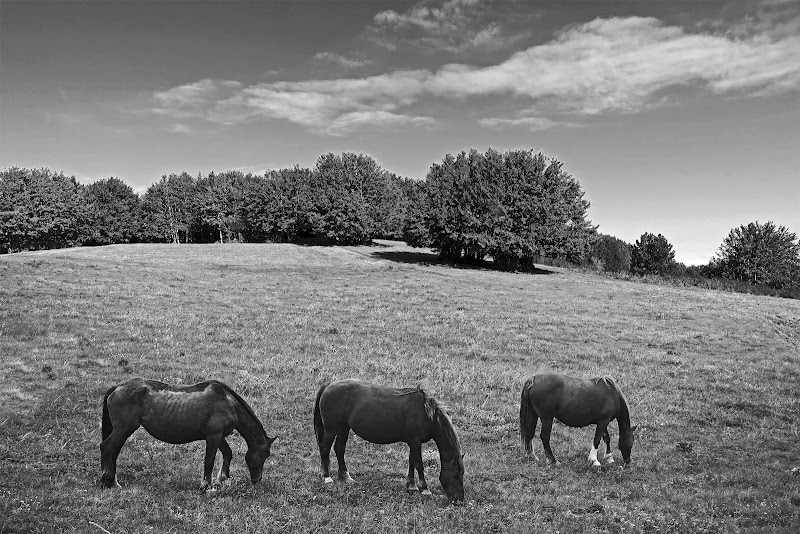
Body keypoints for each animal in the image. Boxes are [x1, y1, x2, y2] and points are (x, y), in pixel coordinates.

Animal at [100, 378, 278, 492]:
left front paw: (221, 479)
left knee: (113, 451)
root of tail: (117, 387)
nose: (257, 480)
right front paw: (205, 486)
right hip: (123, 430)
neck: (228, 403)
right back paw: (110, 480)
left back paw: (111, 479)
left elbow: (228, 453)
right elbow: (209, 461)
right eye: (265, 455)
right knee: (107, 448)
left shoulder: (218, 436)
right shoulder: (213, 436)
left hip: (122, 431)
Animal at [310, 382, 462, 502]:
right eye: (456, 474)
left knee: (339, 449)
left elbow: (411, 461)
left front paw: (411, 485)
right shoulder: (415, 441)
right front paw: (425, 489)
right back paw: (327, 477)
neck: (425, 414)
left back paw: (346, 476)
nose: (459, 500)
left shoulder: (412, 442)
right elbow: (419, 464)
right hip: (331, 429)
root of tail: (328, 386)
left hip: (343, 427)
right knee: (325, 448)